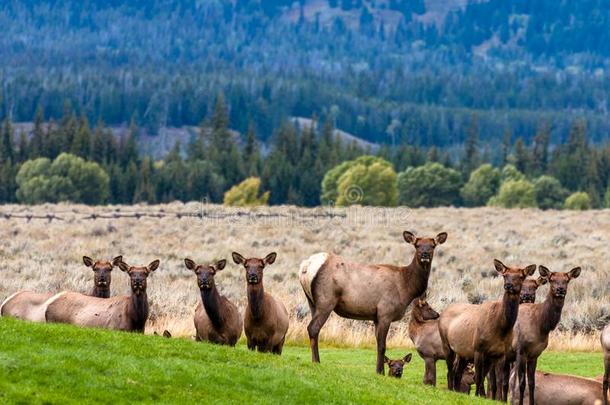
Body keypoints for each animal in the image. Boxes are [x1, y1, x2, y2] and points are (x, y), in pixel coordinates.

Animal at [300, 230, 446, 372]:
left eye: (433, 245)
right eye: (417, 245)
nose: (425, 254)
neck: (406, 288)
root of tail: (305, 267)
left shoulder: (376, 316)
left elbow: (377, 344)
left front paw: (378, 370)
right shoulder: (385, 312)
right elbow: (382, 346)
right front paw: (380, 372)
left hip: (311, 302)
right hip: (326, 300)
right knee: (313, 328)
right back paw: (316, 362)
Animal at [436, 258, 532, 394]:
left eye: (521, 276)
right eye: (505, 275)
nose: (508, 285)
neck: (501, 329)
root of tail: (442, 313)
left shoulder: (500, 354)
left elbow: (497, 380)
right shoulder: (478, 348)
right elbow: (478, 377)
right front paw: (478, 395)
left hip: (463, 353)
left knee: (457, 372)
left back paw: (457, 390)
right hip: (447, 345)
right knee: (450, 370)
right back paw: (451, 389)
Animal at [508, 266, 580, 404]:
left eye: (567, 280)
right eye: (551, 279)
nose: (560, 289)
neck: (541, 325)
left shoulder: (535, 354)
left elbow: (532, 383)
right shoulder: (521, 351)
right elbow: (521, 383)